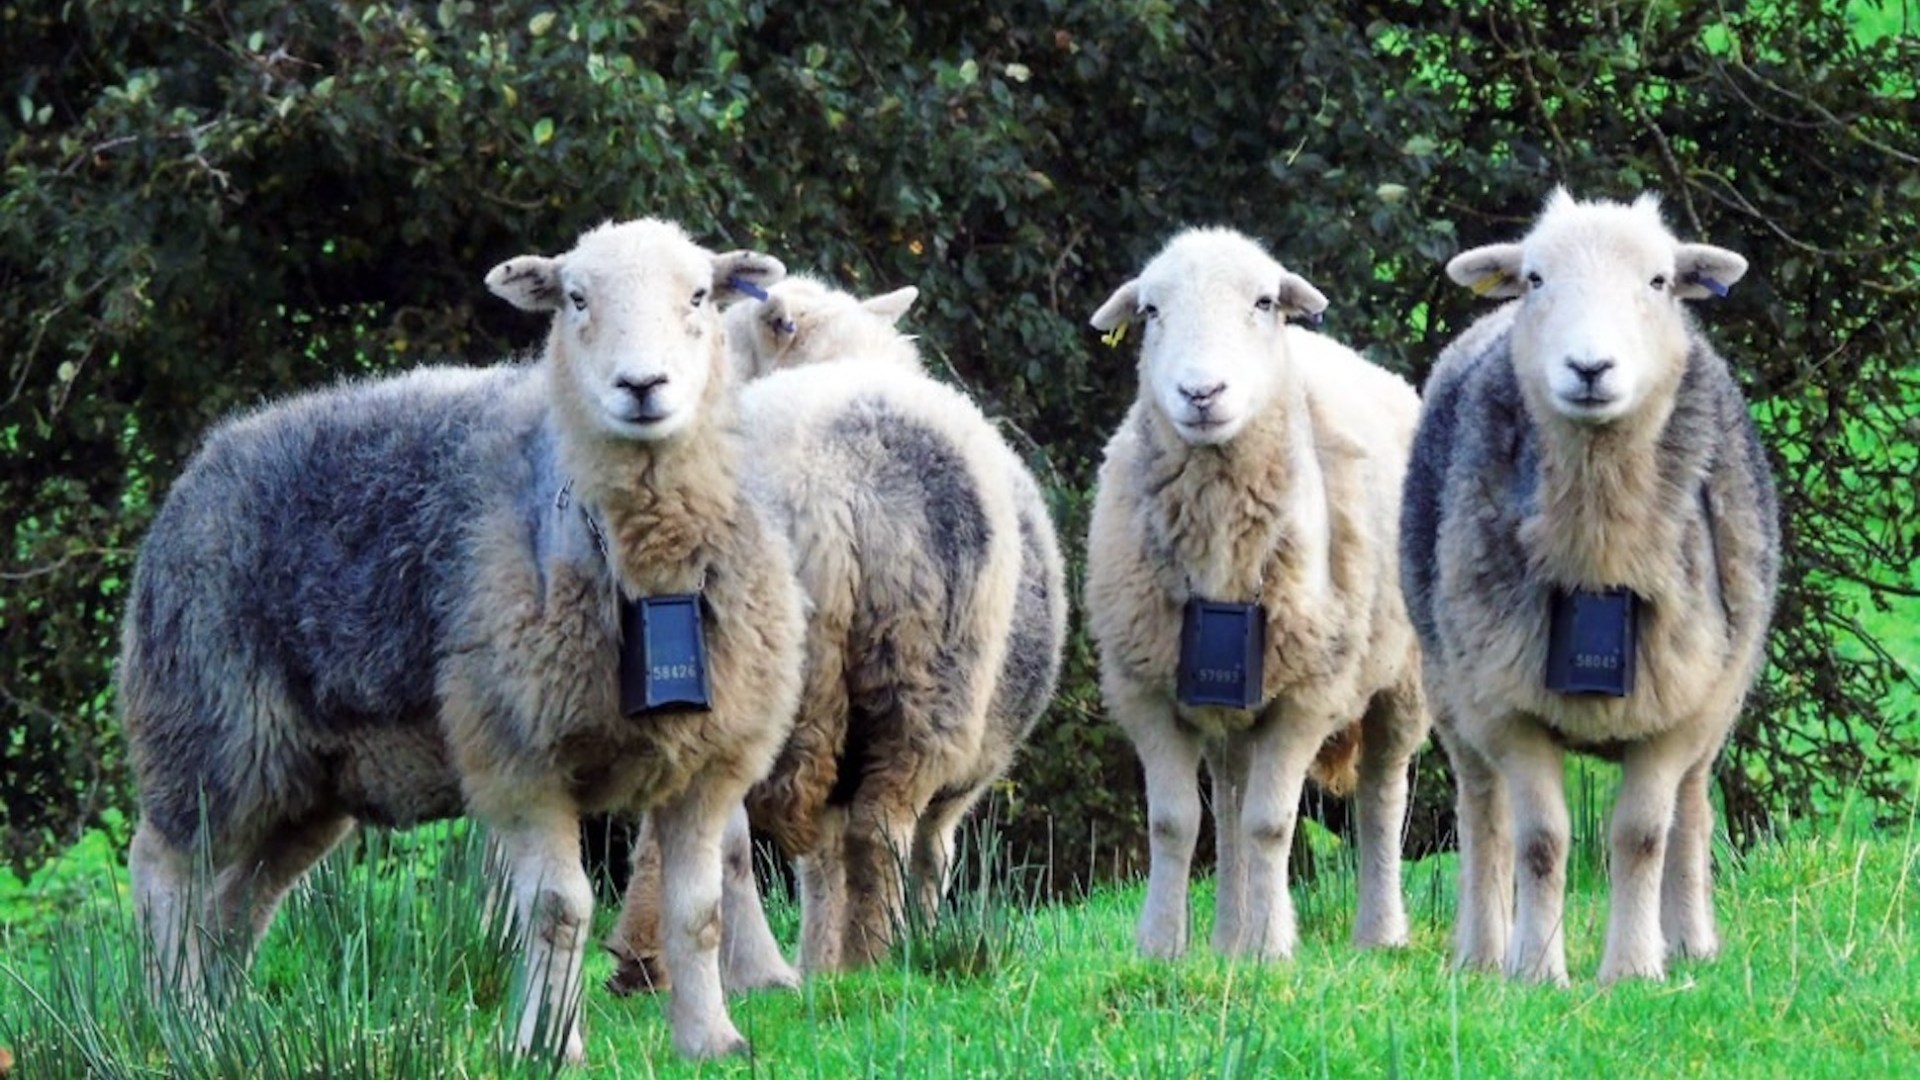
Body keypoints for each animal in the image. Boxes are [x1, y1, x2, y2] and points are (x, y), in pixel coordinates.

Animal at [118, 219, 810, 1060]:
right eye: (576, 298)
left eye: (700, 295)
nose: (643, 386)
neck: (644, 568)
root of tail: (200, 464)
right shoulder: (519, 757)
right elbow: (559, 910)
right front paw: (548, 1047)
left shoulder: (708, 766)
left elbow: (697, 912)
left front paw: (712, 1040)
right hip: (209, 730)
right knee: (165, 872)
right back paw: (174, 1020)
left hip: (308, 779)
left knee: (236, 900)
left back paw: (218, 1027)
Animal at [1082, 226, 1428, 957]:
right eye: (1151, 310)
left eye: (1265, 302)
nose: (1201, 391)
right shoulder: (1145, 690)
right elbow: (1176, 823)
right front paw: (1162, 947)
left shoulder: (1307, 694)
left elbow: (1272, 823)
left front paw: (1272, 948)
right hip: (1229, 709)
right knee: (1231, 798)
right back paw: (1226, 942)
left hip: (1403, 679)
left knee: (1381, 794)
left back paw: (1378, 933)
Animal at [1397, 189, 1781, 980]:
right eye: (1536, 278)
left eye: (1659, 281)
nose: (1590, 366)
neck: (1600, 558)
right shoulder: (1508, 707)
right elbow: (1541, 841)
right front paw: (1539, 972)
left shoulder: (1677, 708)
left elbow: (1640, 836)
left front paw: (1633, 969)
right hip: (1452, 691)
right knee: (1485, 816)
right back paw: (1483, 953)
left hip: (1717, 699)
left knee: (1691, 812)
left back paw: (1690, 943)